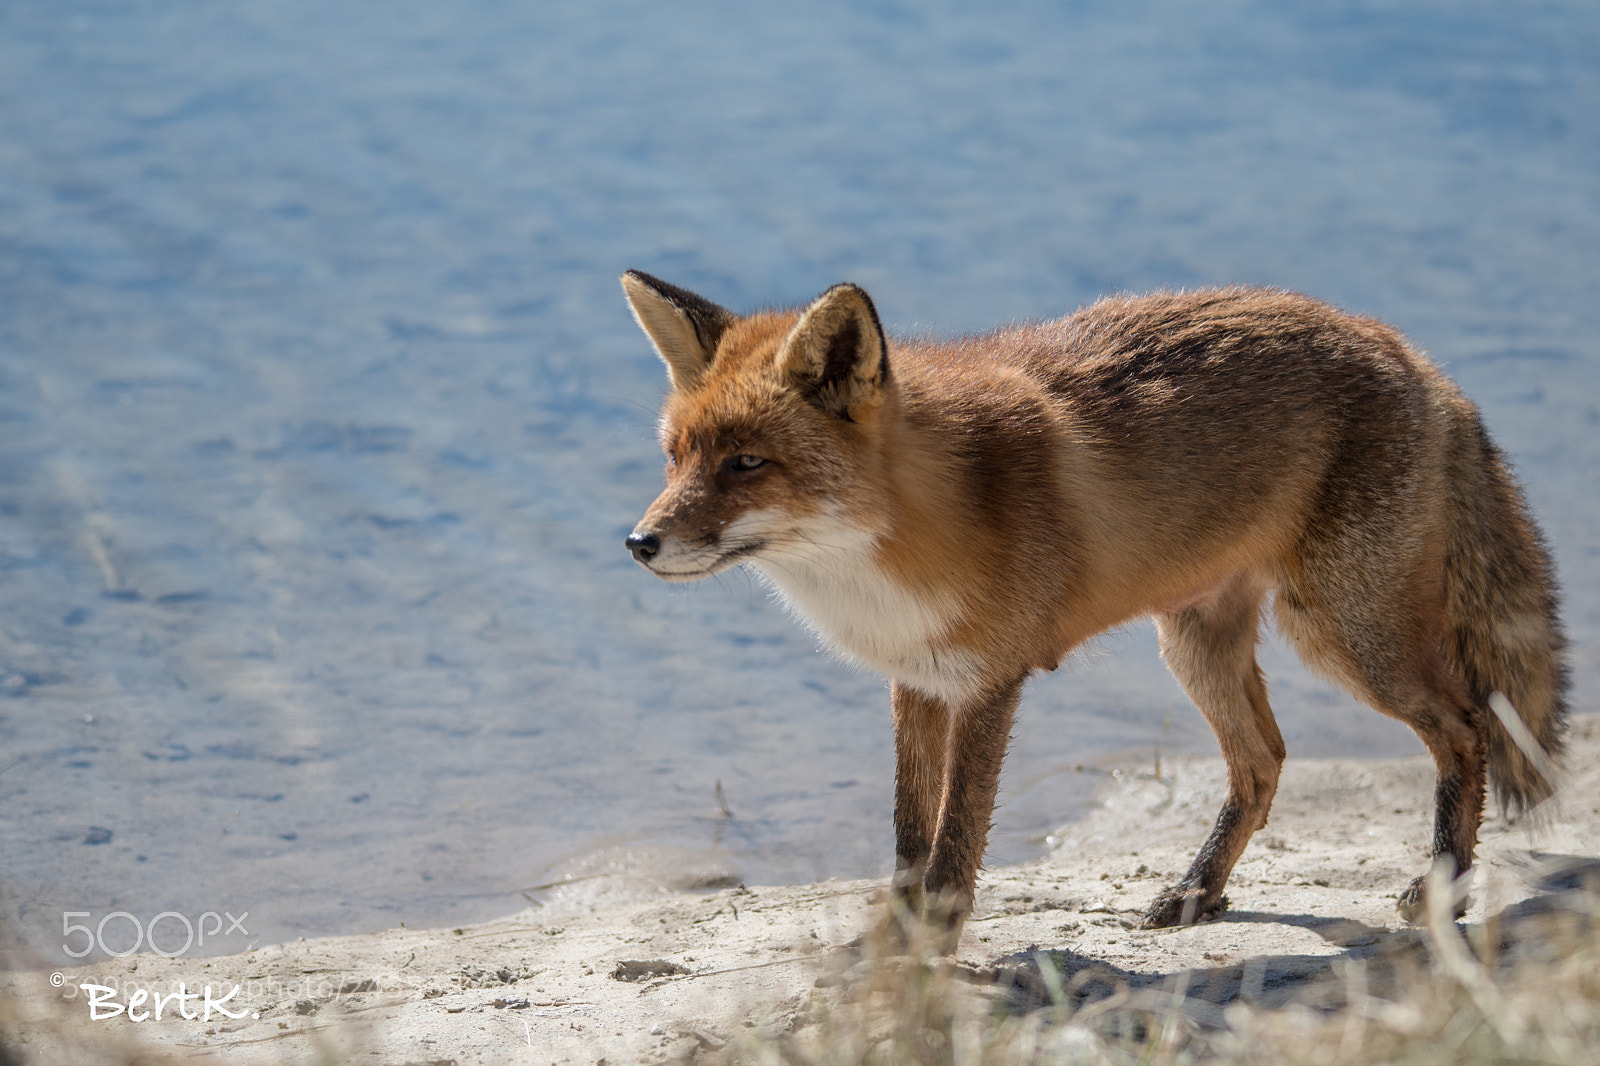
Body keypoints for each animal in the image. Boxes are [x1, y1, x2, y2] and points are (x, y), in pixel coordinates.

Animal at [620, 270, 1568, 949]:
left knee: (1466, 730)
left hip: (1344, 634)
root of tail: (1410, 353)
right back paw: (1198, 889)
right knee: (1264, 762)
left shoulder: (990, 683)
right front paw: (892, 943)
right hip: (1195, 646)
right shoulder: (916, 681)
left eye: (747, 463)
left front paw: (934, 953)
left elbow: (954, 845)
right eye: (674, 457)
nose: (638, 544)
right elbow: (905, 840)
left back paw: (1443, 886)